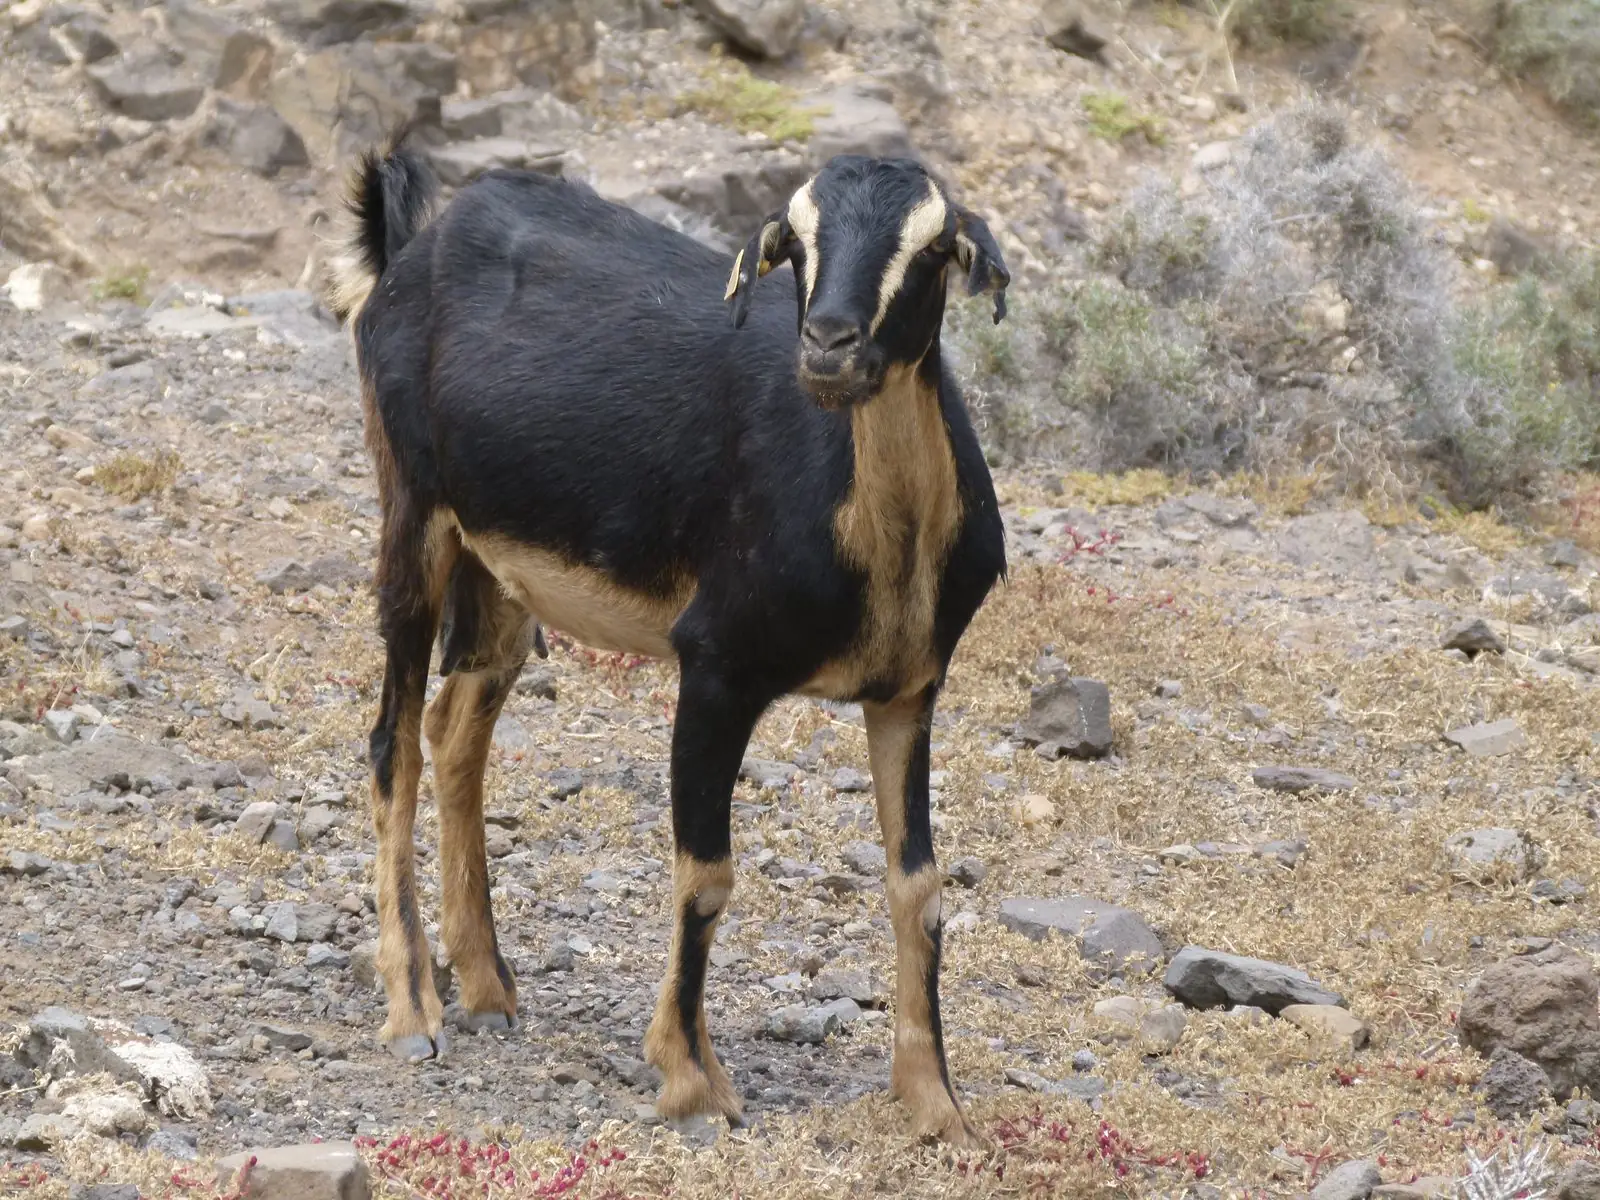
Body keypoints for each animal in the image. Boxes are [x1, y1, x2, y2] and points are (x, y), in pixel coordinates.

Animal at [327, 137, 1010, 1146]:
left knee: (456, 732)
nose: (829, 345)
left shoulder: (908, 691)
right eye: (793, 241)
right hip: (414, 516)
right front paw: (691, 1079)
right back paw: (414, 1006)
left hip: (500, 573)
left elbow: (917, 886)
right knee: (393, 747)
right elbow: (708, 874)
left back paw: (488, 986)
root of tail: (418, 245)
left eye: (933, 247)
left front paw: (937, 1103)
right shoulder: (717, 667)